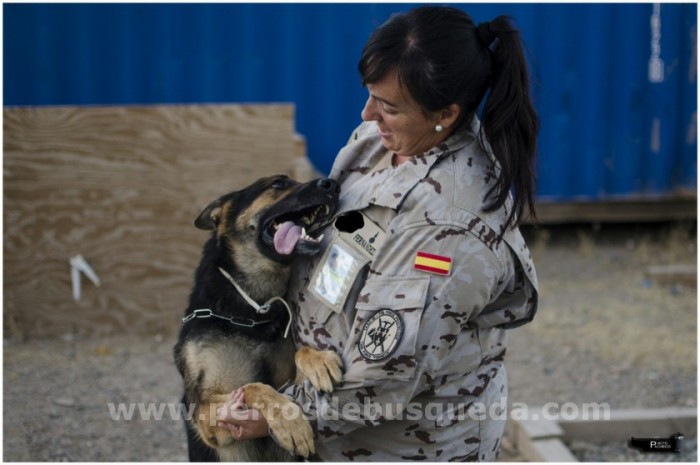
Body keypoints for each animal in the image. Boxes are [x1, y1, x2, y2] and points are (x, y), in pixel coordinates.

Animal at [172, 175, 342, 460]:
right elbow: (255, 387)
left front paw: (318, 360)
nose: (332, 184)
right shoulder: (205, 411)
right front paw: (289, 421)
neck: (253, 311)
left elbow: (299, 352)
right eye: (278, 183)